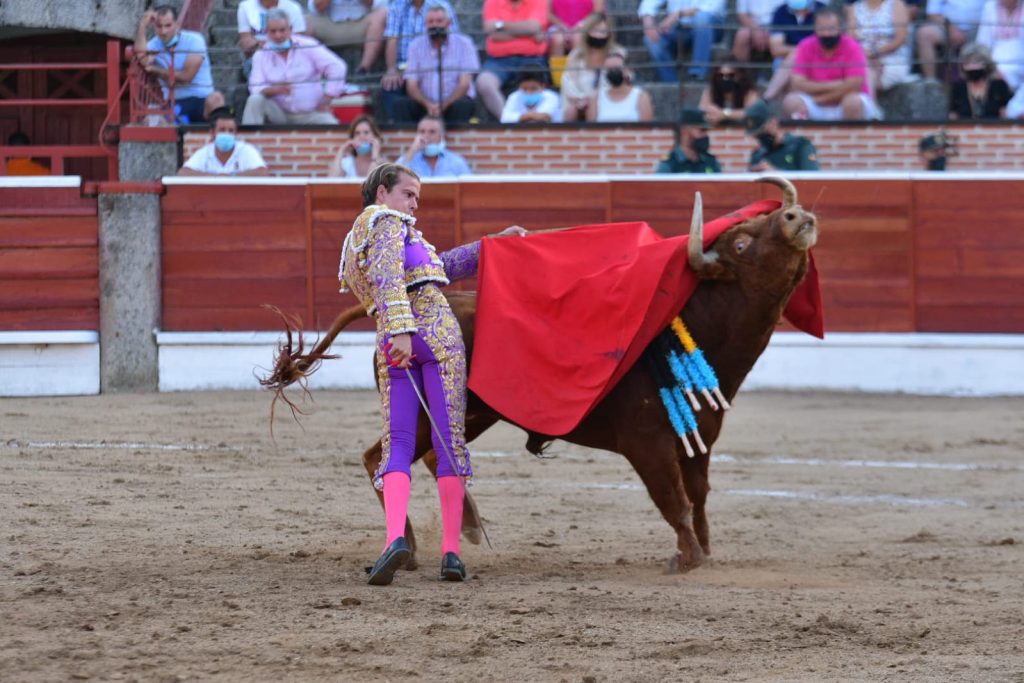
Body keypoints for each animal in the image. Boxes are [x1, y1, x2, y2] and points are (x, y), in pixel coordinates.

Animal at [264, 176, 815, 573]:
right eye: (741, 244)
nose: (799, 216)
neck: (691, 329)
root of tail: (381, 312)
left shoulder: (698, 440)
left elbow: (697, 498)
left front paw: (702, 550)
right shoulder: (649, 444)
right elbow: (672, 498)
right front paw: (687, 559)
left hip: (470, 411)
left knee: (436, 457)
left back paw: (462, 530)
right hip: (426, 407)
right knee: (380, 457)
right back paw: (410, 549)